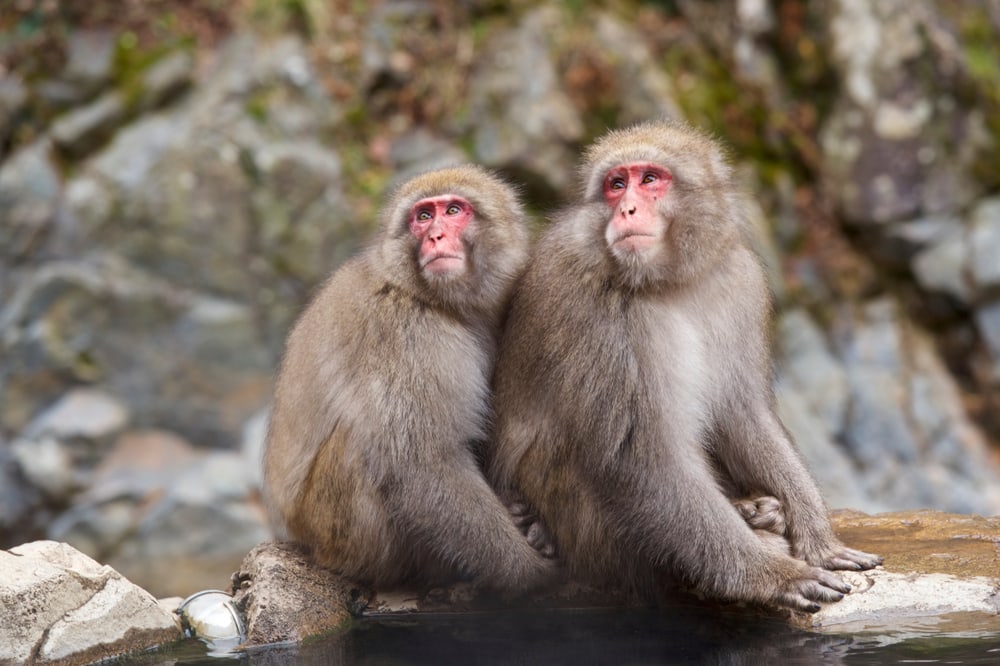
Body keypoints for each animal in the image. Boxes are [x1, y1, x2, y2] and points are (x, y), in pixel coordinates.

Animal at [262, 165, 555, 594]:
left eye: (453, 210)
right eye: (423, 216)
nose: (434, 236)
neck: (434, 301)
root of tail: (301, 539)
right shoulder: (402, 331)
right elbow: (421, 463)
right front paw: (527, 573)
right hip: (340, 533)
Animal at [488, 121, 882, 613]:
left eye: (650, 179)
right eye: (616, 184)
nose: (627, 208)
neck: (668, 281)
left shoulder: (739, 280)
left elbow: (743, 414)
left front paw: (819, 539)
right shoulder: (597, 310)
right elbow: (641, 461)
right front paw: (771, 574)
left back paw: (758, 511)